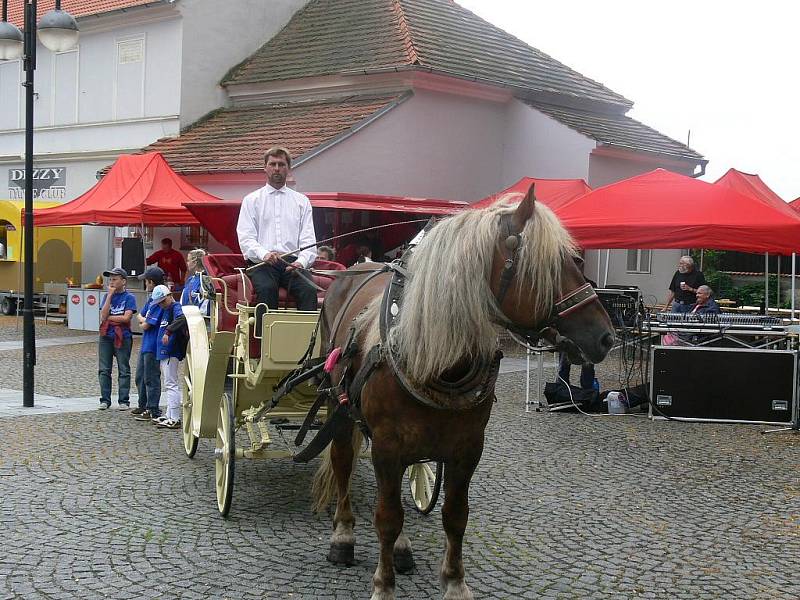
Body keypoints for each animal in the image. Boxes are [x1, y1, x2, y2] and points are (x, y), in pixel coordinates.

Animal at [310, 185, 612, 596]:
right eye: (553, 265)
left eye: (578, 259)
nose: (606, 336)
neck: (436, 359)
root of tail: (354, 269)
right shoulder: (388, 446)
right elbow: (387, 517)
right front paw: (383, 585)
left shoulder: (467, 448)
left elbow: (455, 515)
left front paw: (454, 582)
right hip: (339, 410)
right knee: (342, 464)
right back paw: (343, 535)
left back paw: (401, 548)